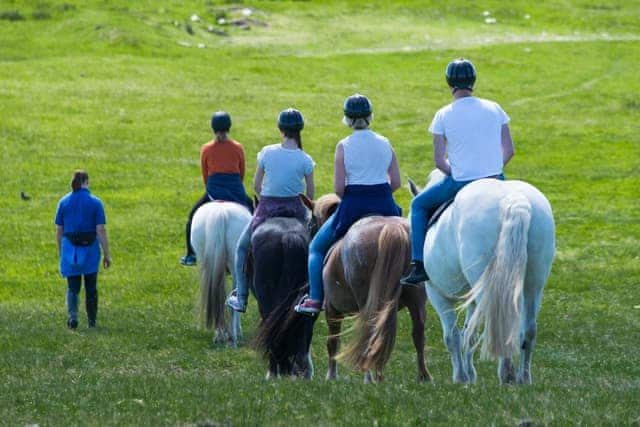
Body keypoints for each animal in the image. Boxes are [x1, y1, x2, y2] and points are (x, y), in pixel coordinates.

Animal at [410, 171, 556, 384]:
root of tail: (513, 200)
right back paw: (523, 378)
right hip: (534, 285)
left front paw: (461, 377)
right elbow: (468, 333)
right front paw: (470, 375)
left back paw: (507, 374)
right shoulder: (471, 297)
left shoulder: (437, 293)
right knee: (528, 330)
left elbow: (452, 336)